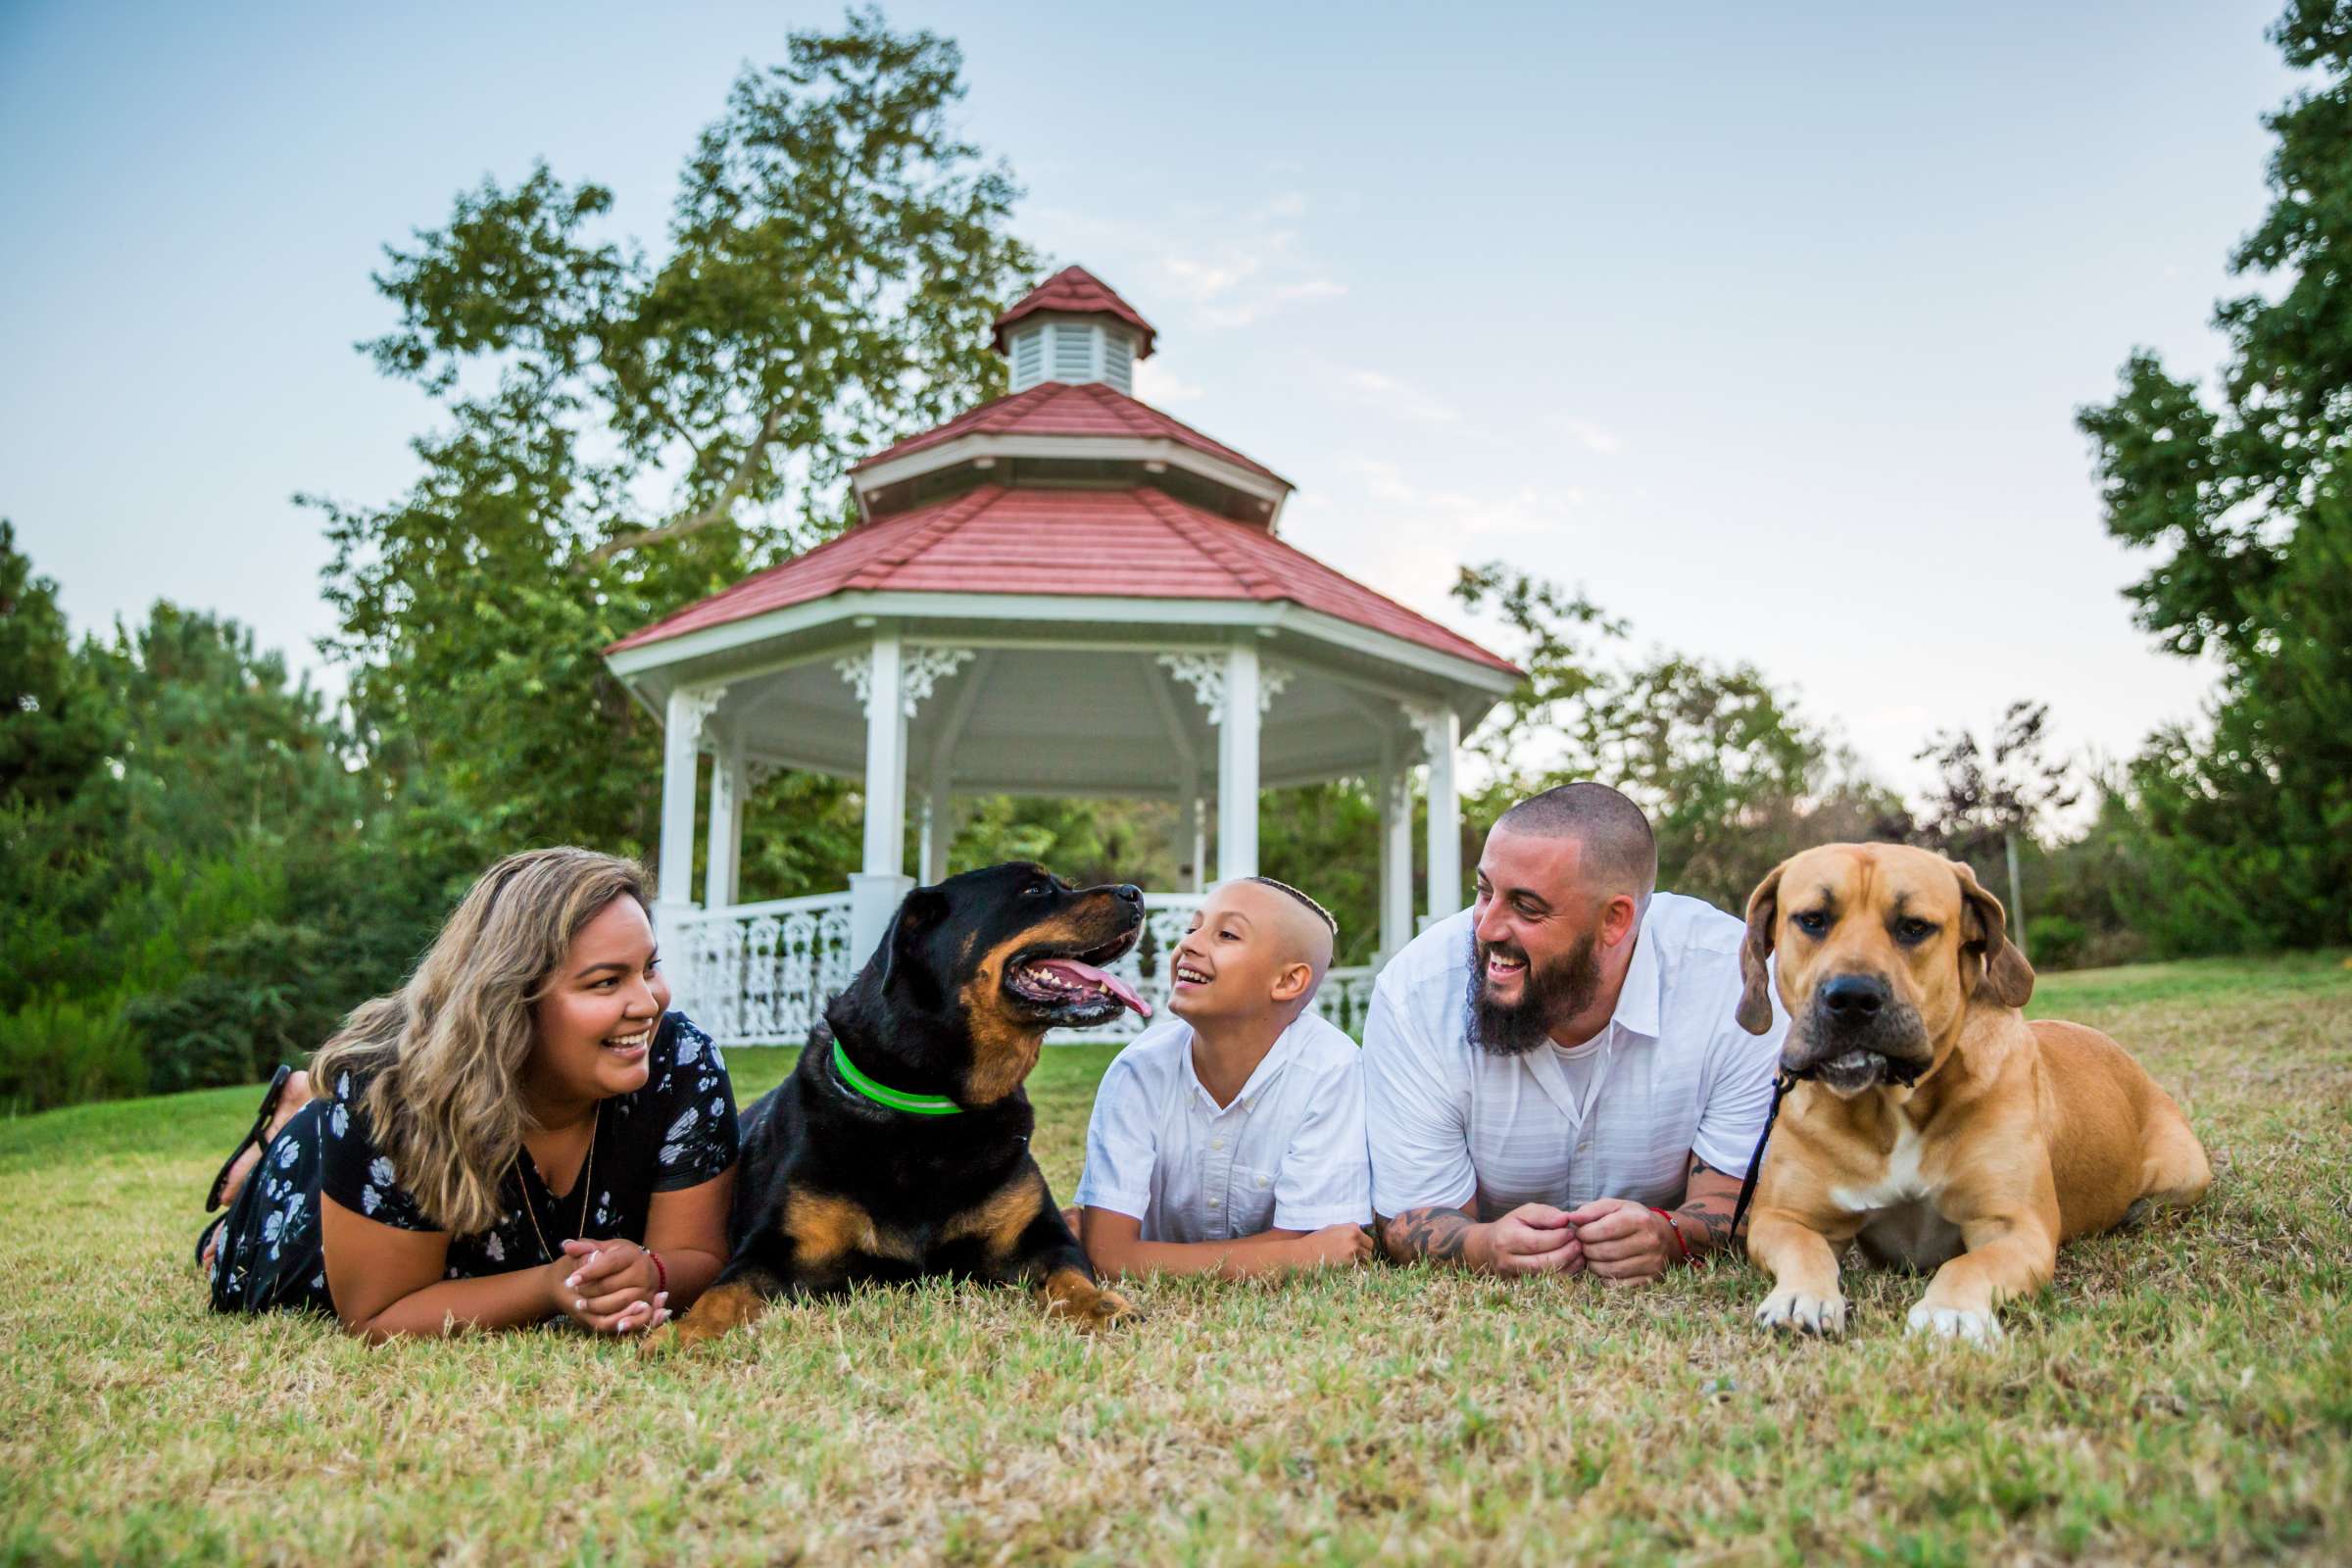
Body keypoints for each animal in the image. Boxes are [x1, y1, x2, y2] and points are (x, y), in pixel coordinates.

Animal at [1731, 841, 2201, 1345]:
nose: (1852, 997)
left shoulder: (2014, 1227)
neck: (1890, 1107)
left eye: (1914, 926)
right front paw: (1801, 1296)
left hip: (2186, 1168)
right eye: (1813, 919)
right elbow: (1804, 1247)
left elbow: (1968, 1265)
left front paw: (1951, 1312)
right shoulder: (1781, 1217)